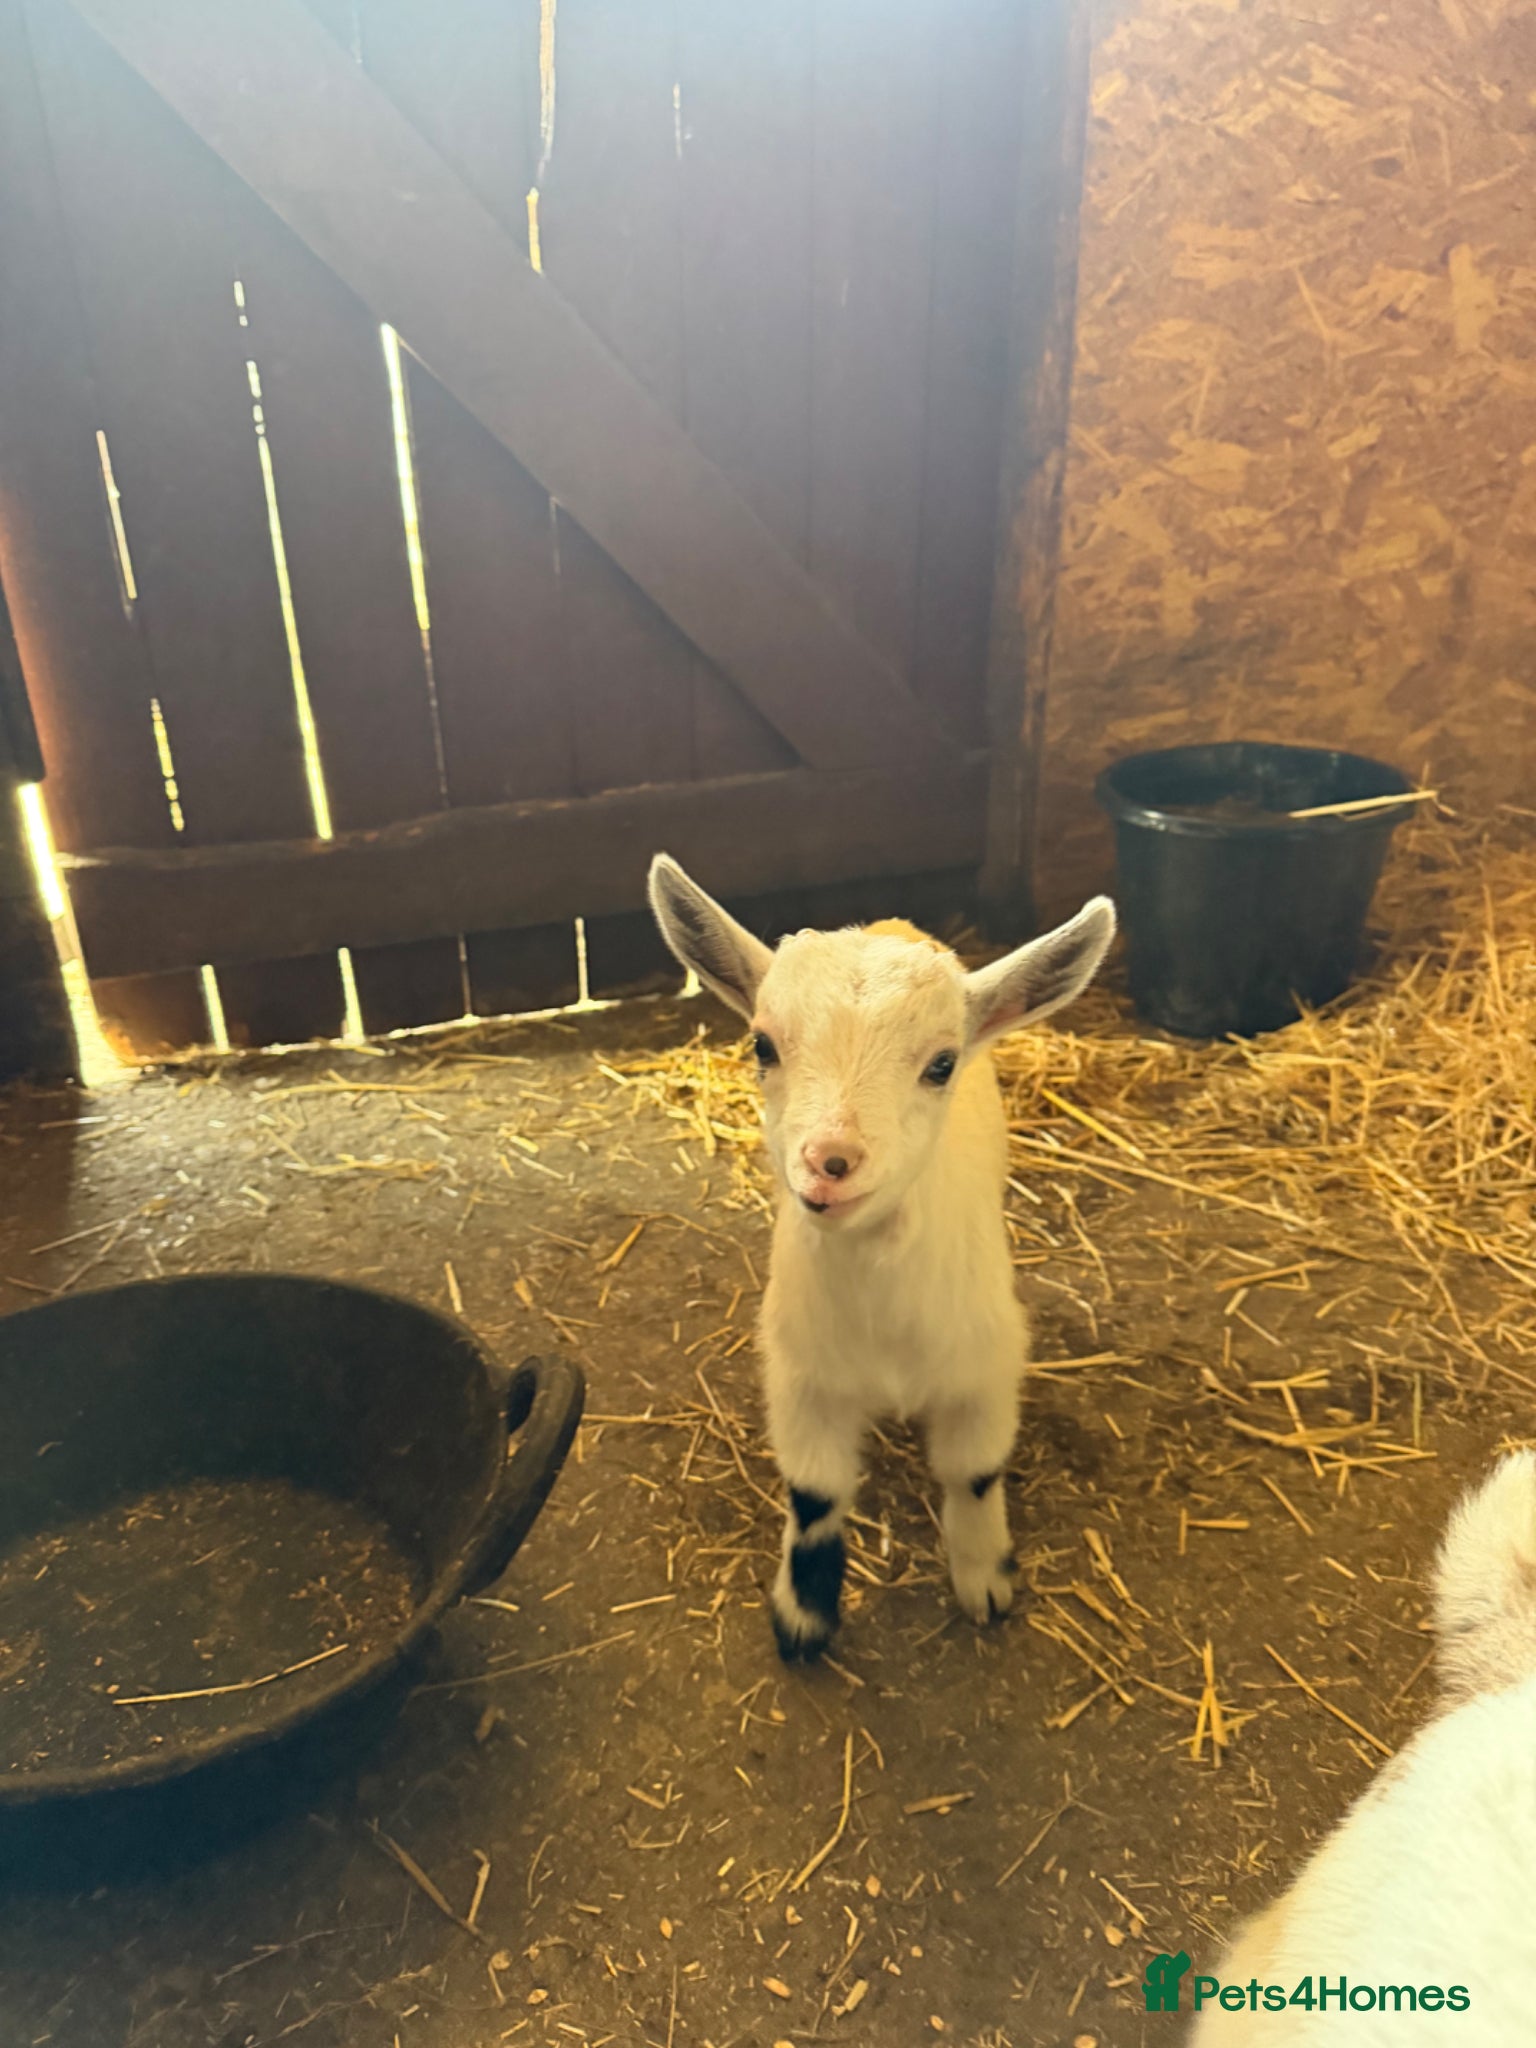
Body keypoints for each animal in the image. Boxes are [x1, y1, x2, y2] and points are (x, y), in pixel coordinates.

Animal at [646, 856, 1115, 1661]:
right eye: (763, 1046)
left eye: (942, 1063)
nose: (830, 1162)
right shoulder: (802, 1376)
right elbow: (815, 1493)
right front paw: (803, 1616)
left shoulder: (986, 1368)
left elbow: (975, 1473)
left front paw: (985, 1581)